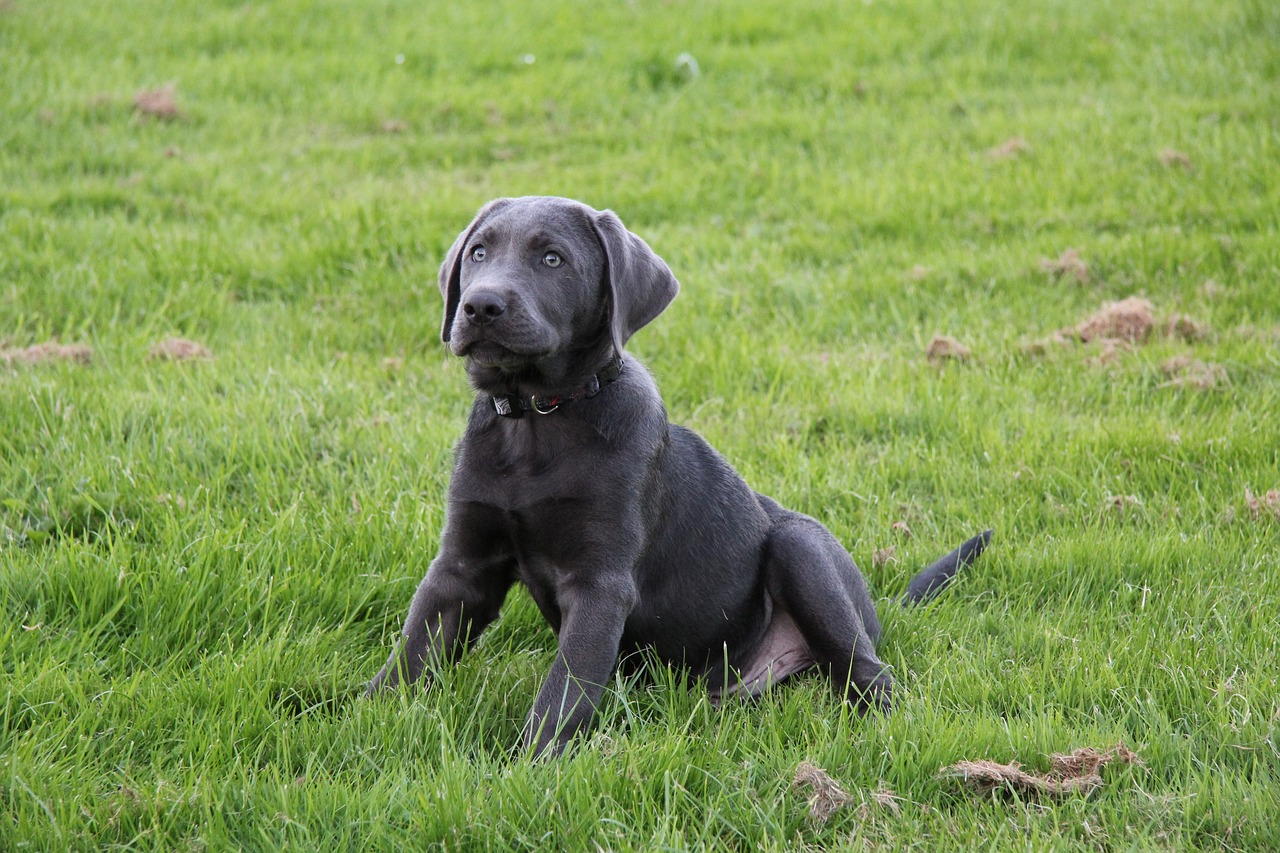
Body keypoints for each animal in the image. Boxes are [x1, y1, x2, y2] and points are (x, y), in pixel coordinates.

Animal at [371, 195, 988, 753]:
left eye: (552, 259)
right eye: (478, 253)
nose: (480, 306)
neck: (537, 419)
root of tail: (875, 610)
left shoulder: (601, 582)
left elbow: (565, 689)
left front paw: (527, 769)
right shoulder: (462, 566)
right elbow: (412, 650)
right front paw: (362, 720)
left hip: (802, 549)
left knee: (867, 672)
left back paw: (887, 731)